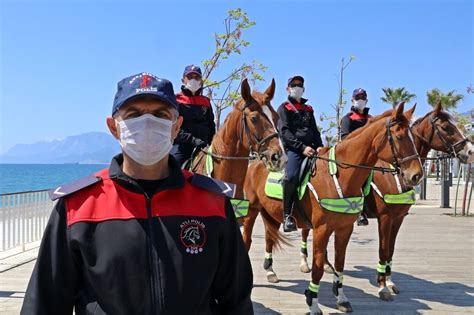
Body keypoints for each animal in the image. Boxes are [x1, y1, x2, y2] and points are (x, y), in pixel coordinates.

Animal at [244, 103, 422, 314]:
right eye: (400, 137)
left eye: (413, 137)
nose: (417, 175)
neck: (338, 176)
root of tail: (256, 161)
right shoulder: (324, 229)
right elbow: (318, 268)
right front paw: (313, 303)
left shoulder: (346, 228)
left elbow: (341, 263)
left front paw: (342, 297)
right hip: (252, 211)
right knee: (249, 239)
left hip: (272, 214)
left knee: (269, 237)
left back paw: (271, 271)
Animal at [362, 103, 474, 302]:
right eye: (446, 127)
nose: (470, 151)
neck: (395, 172)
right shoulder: (385, 218)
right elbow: (383, 250)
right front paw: (382, 286)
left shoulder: (398, 218)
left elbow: (390, 250)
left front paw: (389, 282)